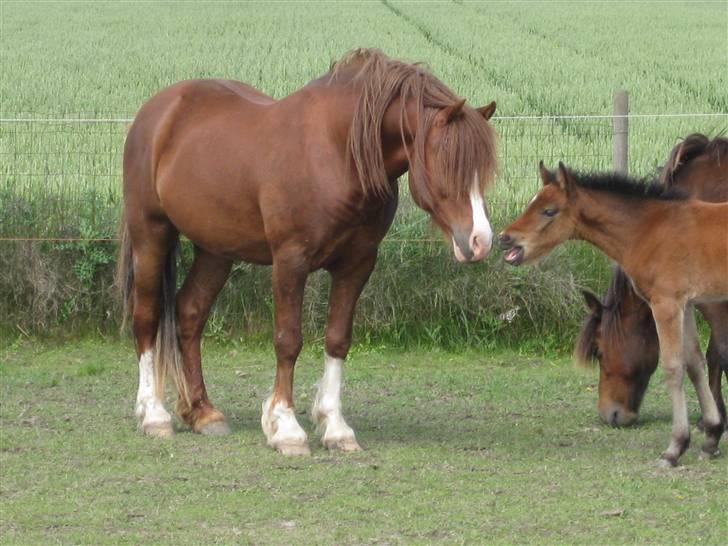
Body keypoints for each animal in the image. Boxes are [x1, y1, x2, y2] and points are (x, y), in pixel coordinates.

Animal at [116, 49, 500, 452]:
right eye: (447, 163)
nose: (480, 240)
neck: (337, 152)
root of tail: (158, 110)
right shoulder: (290, 261)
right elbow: (288, 340)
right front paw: (285, 427)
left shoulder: (357, 264)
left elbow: (338, 339)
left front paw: (335, 426)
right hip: (151, 234)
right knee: (147, 316)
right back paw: (154, 414)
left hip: (215, 250)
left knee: (189, 313)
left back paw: (203, 412)